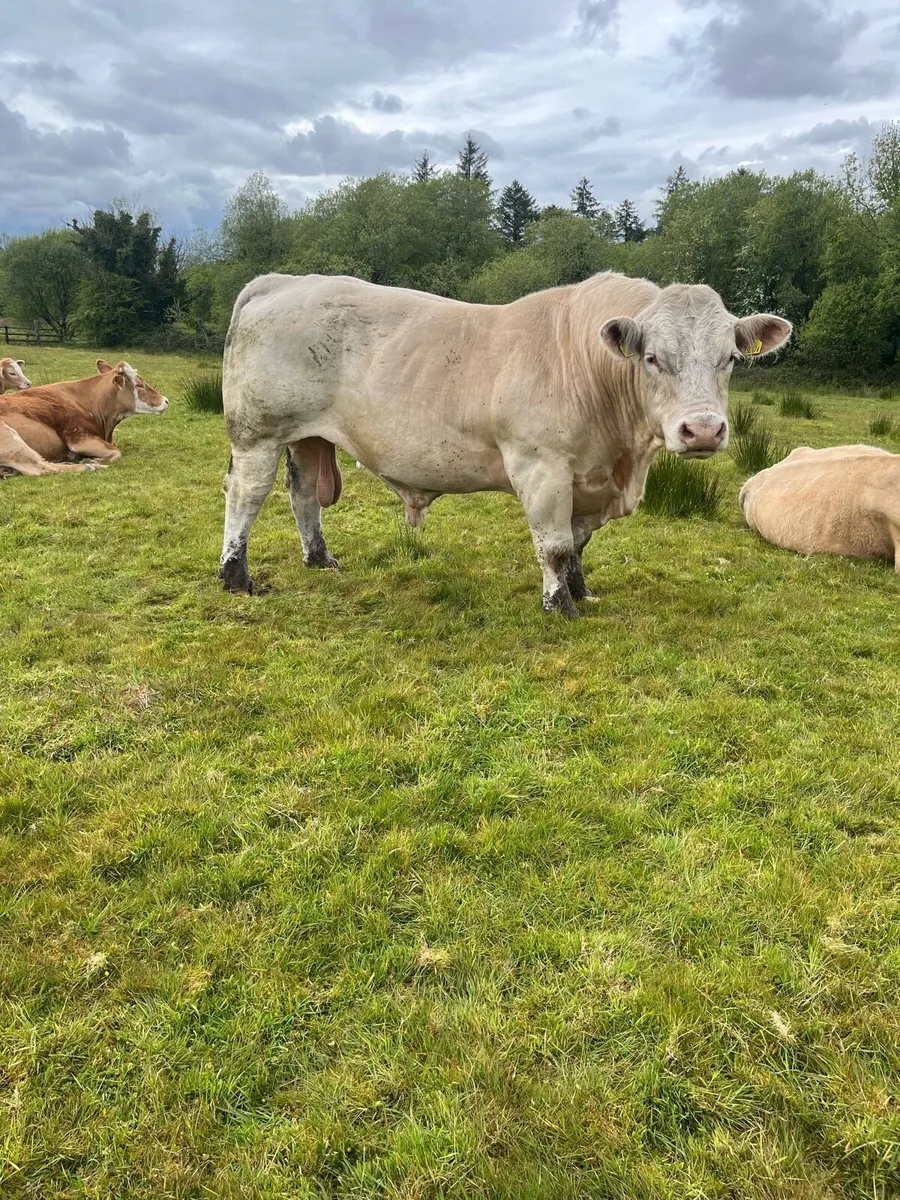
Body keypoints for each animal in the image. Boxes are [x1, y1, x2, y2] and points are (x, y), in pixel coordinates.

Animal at [0, 359, 168, 478]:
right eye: (139, 385)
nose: (165, 400)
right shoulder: (79, 437)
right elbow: (116, 452)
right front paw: (92, 460)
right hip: (12, 440)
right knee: (41, 468)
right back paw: (90, 467)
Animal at [220, 271, 792, 616]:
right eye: (652, 358)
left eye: (730, 358)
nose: (703, 430)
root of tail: (281, 280)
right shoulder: (542, 467)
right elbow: (554, 545)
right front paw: (561, 606)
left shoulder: (587, 478)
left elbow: (577, 543)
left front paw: (581, 591)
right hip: (259, 432)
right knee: (245, 496)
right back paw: (235, 576)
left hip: (307, 437)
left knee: (304, 496)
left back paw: (319, 559)